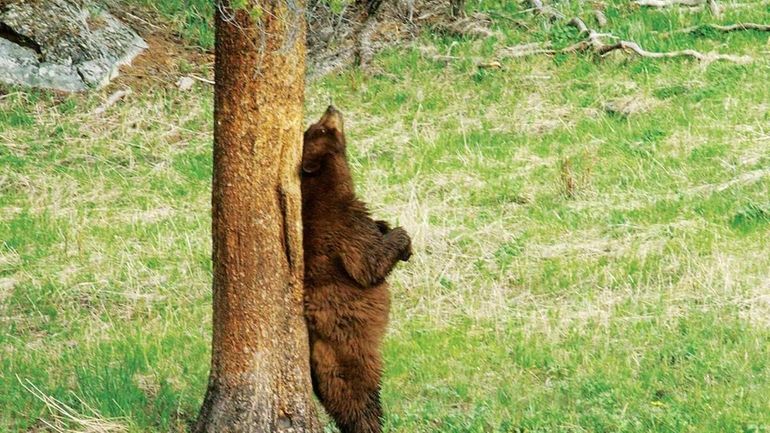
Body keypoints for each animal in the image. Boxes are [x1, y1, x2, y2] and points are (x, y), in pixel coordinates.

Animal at [298, 105, 412, 432]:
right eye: (321, 129)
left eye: (313, 125)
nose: (331, 107)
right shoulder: (345, 230)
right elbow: (368, 264)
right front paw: (403, 240)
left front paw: (384, 224)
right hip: (351, 352)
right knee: (358, 394)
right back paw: (371, 421)